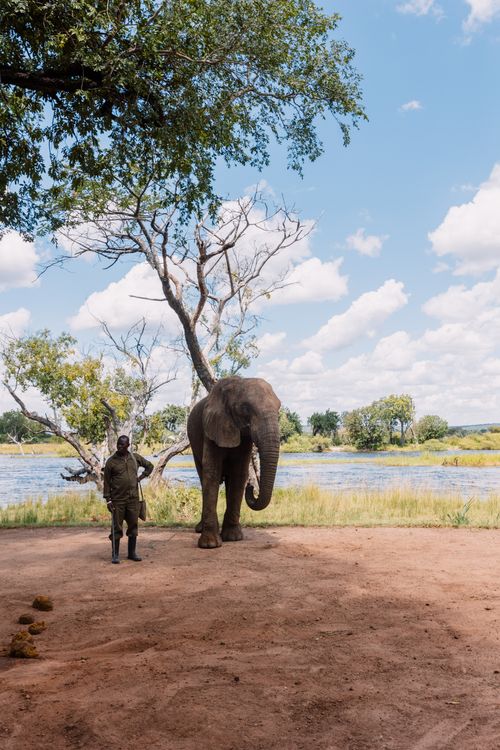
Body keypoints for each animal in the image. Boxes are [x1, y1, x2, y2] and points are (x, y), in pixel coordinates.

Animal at [187, 376, 281, 549]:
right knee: (203, 477)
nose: (252, 488)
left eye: (279, 408)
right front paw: (210, 545)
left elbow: (239, 473)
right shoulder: (212, 426)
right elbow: (212, 472)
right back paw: (200, 529)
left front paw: (233, 538)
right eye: (246, 408)